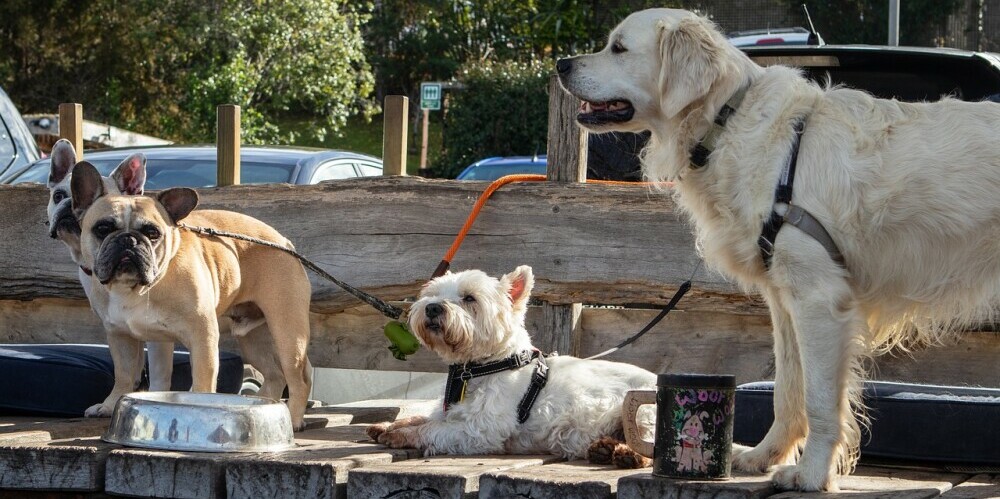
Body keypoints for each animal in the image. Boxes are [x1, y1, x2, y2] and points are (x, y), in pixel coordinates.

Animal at [368, 268, 656, 466]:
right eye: (433, 294)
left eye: (469, 298)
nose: (432, 308)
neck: (479, 367)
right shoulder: (454, 411)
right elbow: (424, 418)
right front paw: (388, 426)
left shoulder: (480, 429)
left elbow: (432, 429)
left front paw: (399, 435)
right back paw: (603, 448)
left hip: (641, 408)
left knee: (649, 440)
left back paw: (628, 455)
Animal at [560, 6, 1000, 492]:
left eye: (618, 48)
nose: (561, 65)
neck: (727, 124)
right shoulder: (784, 301)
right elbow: (788, 391)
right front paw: (765, 456)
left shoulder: (819, 299)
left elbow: (821, 400)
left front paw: (812, 475)